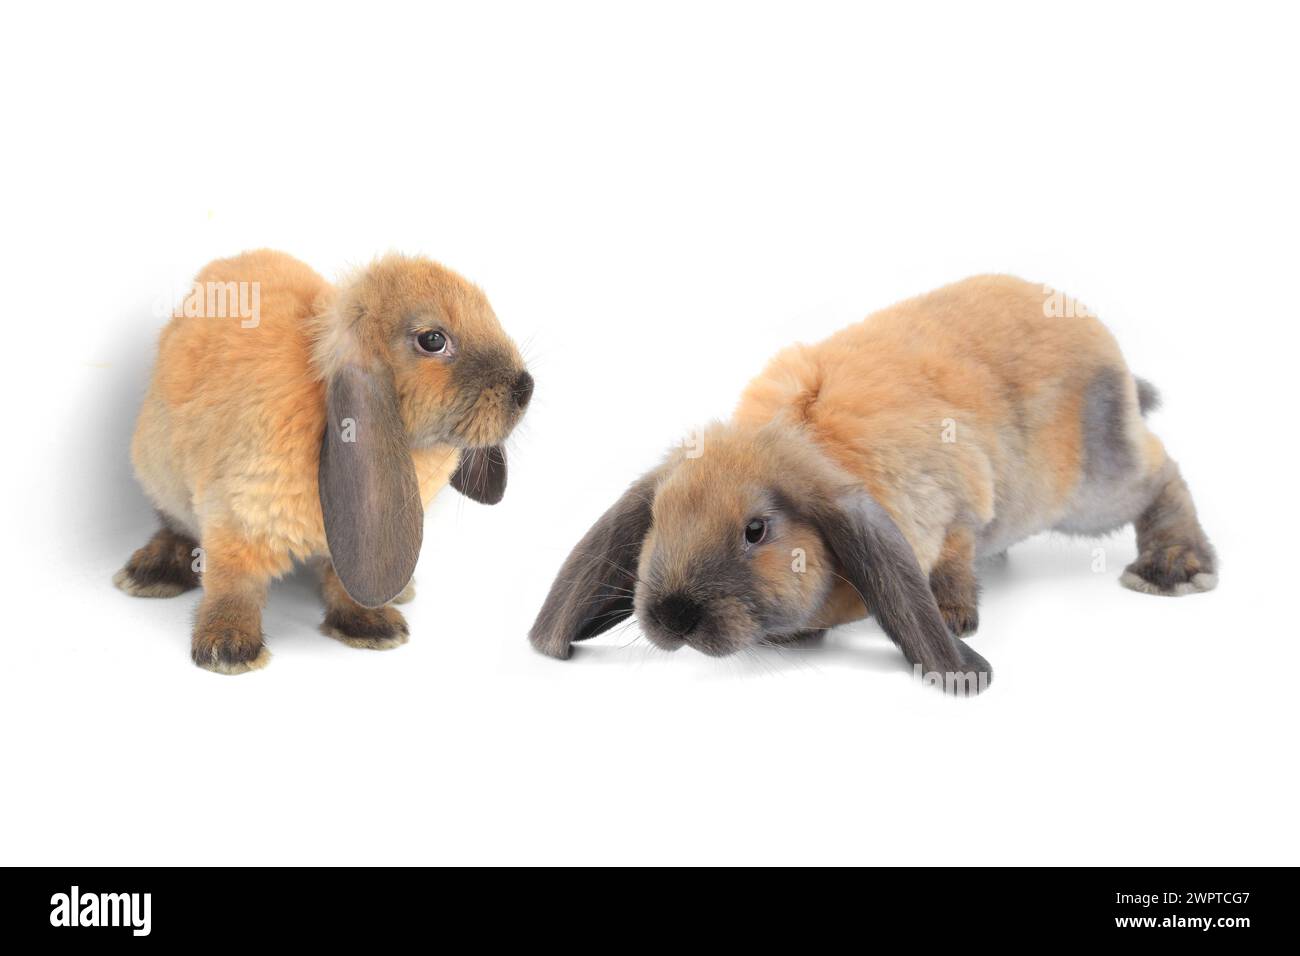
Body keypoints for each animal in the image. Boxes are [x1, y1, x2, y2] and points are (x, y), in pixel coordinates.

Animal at [116, 249, 533, 674]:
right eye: (432, 340)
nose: (525, 388)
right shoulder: (234, 516)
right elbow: (232, 581)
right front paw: (227, 647)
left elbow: (341, 580)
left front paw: (372, 625)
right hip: (161, 476)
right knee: (175, 527)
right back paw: (152, 572)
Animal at [529, 275, 1216, 695]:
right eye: (658, 520)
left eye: (756, 530)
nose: (674, 616)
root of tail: (1112, 351)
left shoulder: (956, 508)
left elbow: (954, 558)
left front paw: (954, 623)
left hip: (1090, 486)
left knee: (1163, 472)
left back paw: (1173, 570)